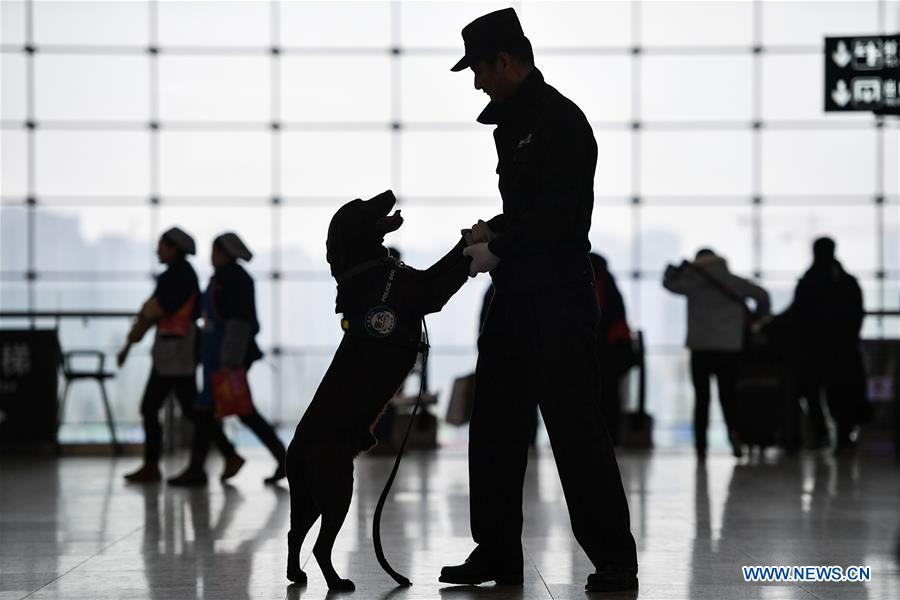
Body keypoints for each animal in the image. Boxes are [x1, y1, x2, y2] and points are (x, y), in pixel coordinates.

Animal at [286, 190, 472, 588]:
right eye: (360, 204)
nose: (388, 193)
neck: (367, 266)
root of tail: (295, 448)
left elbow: (451, 256)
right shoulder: (428, 292)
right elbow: (454, 262)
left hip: (309, 496)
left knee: (295, 532)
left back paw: (296, 575)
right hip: (338, 487)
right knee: (320, 545)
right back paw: (338, 583)